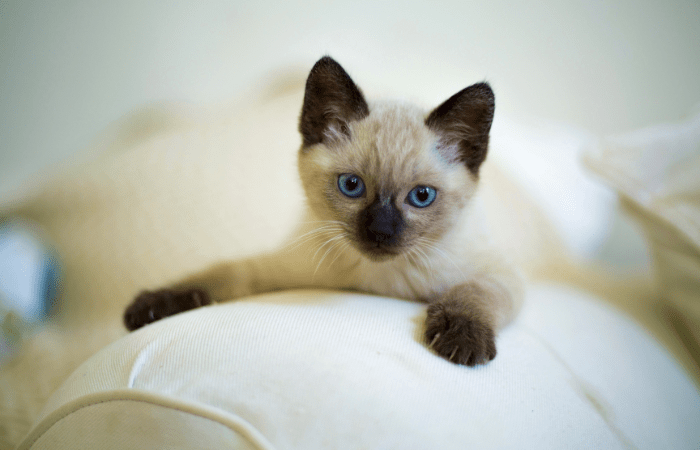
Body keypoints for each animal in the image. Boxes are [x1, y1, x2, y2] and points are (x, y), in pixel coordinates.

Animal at [124, 55, 520, 366]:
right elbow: (222, 273)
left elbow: (473, 293)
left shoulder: (499, 274)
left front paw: (462, 340)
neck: (374, 284)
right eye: (351, 186)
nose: (380, 231)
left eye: (422, 196)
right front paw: (151, 305)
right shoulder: (281, 267)